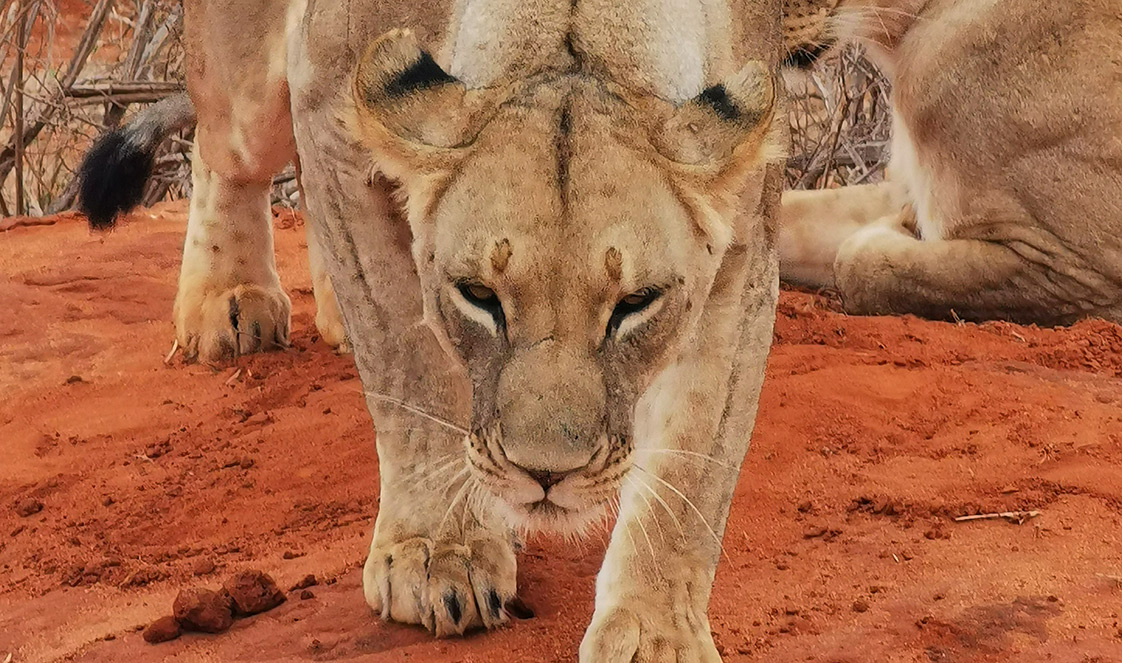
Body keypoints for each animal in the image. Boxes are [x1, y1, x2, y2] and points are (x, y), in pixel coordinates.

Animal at [77, 0, 785, 660]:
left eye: (635, 303)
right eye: (480, 296)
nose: (545, 475)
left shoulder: (744, 239)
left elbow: (694, 467)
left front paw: (658, 634)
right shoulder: (328, 104)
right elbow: (406, 362)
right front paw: (438, 556)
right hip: (250, 98)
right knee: (222, 147)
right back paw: (226, 300)